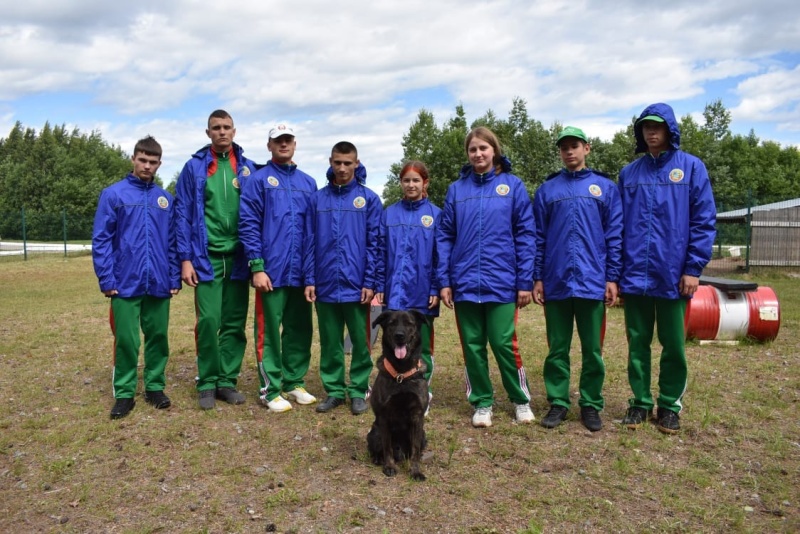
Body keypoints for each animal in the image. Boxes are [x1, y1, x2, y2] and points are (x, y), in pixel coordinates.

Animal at [368, 310, 432, 482]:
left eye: (409, 323)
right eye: (392, 323)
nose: (399, 335)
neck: (402, 374)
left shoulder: (417, 416)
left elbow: (415, 451)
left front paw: (415, 471)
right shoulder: (384, 417)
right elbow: (387, 447)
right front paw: (389, 467)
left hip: (423, 435)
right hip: (374, 433)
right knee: (379, 449)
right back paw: (379, 459)